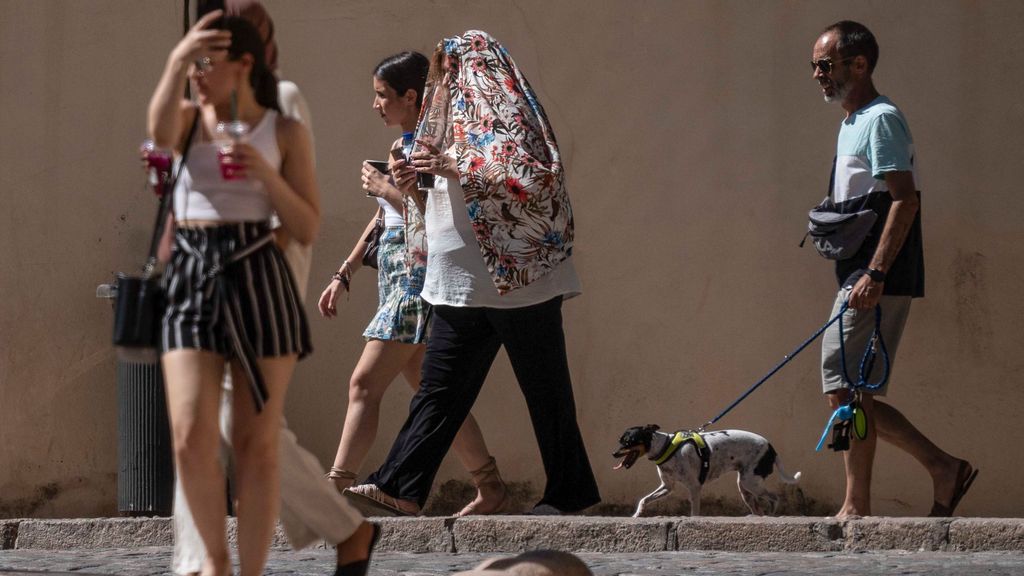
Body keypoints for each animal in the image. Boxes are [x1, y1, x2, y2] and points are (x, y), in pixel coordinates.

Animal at [614, 422, 798, 516]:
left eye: (628, 442)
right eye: (620, 441)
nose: (613, 454)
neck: (666, 447)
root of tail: (771, 447)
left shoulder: (694, 487)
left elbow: (695, 513)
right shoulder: (667, 487)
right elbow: (644, 500)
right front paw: (637, 514)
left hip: (751, 483)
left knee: (775, 498)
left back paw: (772, 516)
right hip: (745, 487)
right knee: (759, 508)